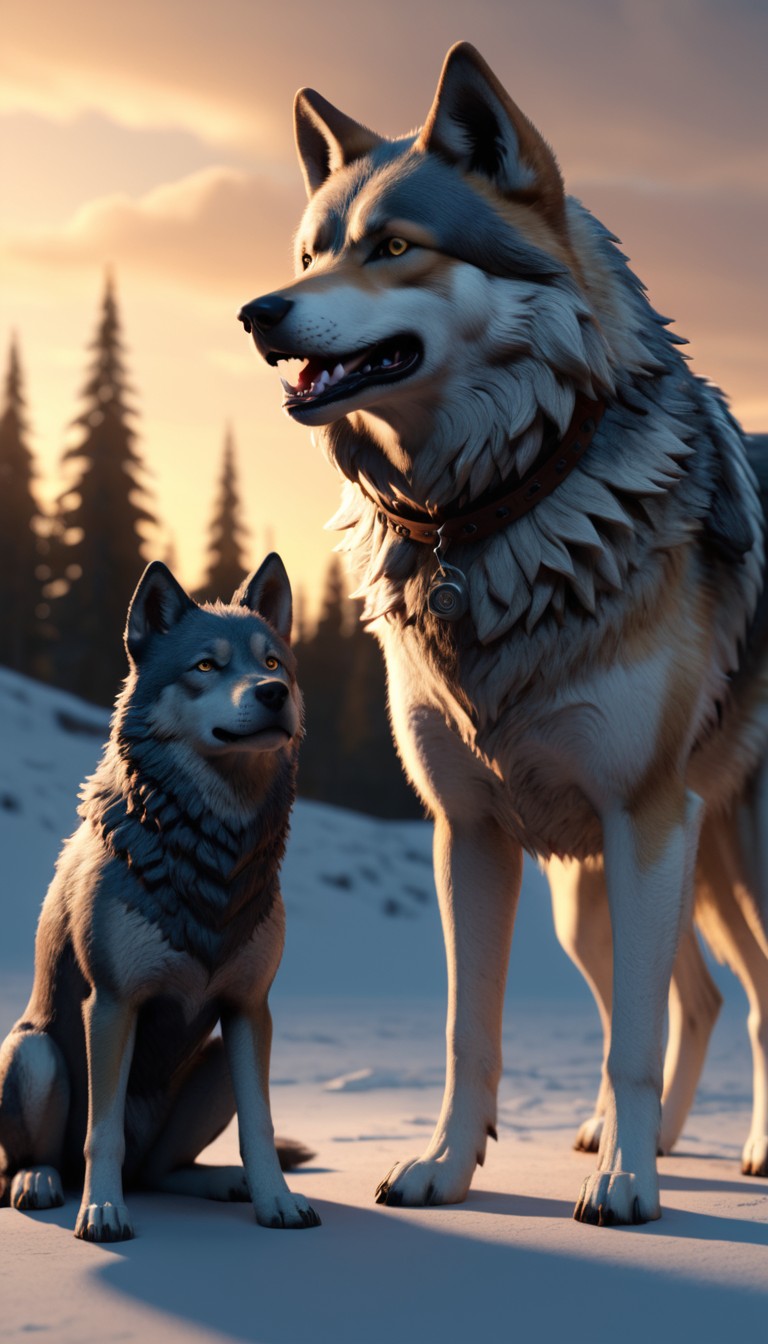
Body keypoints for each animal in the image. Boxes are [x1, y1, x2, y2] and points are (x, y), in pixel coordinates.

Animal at [0, 555, 320, 1240]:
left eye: (273, 662)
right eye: (205, 667)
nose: (272, 693)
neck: (209, 856)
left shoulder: (249, 1009)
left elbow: (260, 1126)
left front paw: (277, 1202)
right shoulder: (112, 1003)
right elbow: (102, 1134)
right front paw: (102, 1212)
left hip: (217, 1059)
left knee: (161, 1169)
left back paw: (221, 1183)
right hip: (36, 1055)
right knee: (43, 1158)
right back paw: (40, 1183)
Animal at [238, 43, 768, 1225]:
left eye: (395, 247)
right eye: (310, 253)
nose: (257, 311)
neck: (494, 511)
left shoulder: (641, 816)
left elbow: (628, 1040)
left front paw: (629, 1192)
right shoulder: (471, 831)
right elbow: (467, 1032)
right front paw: (444, 1169)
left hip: (714, 859)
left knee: (741, 1000)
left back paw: (726, 1152)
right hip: (606, 894)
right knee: (706, 998)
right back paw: (637, 1139)